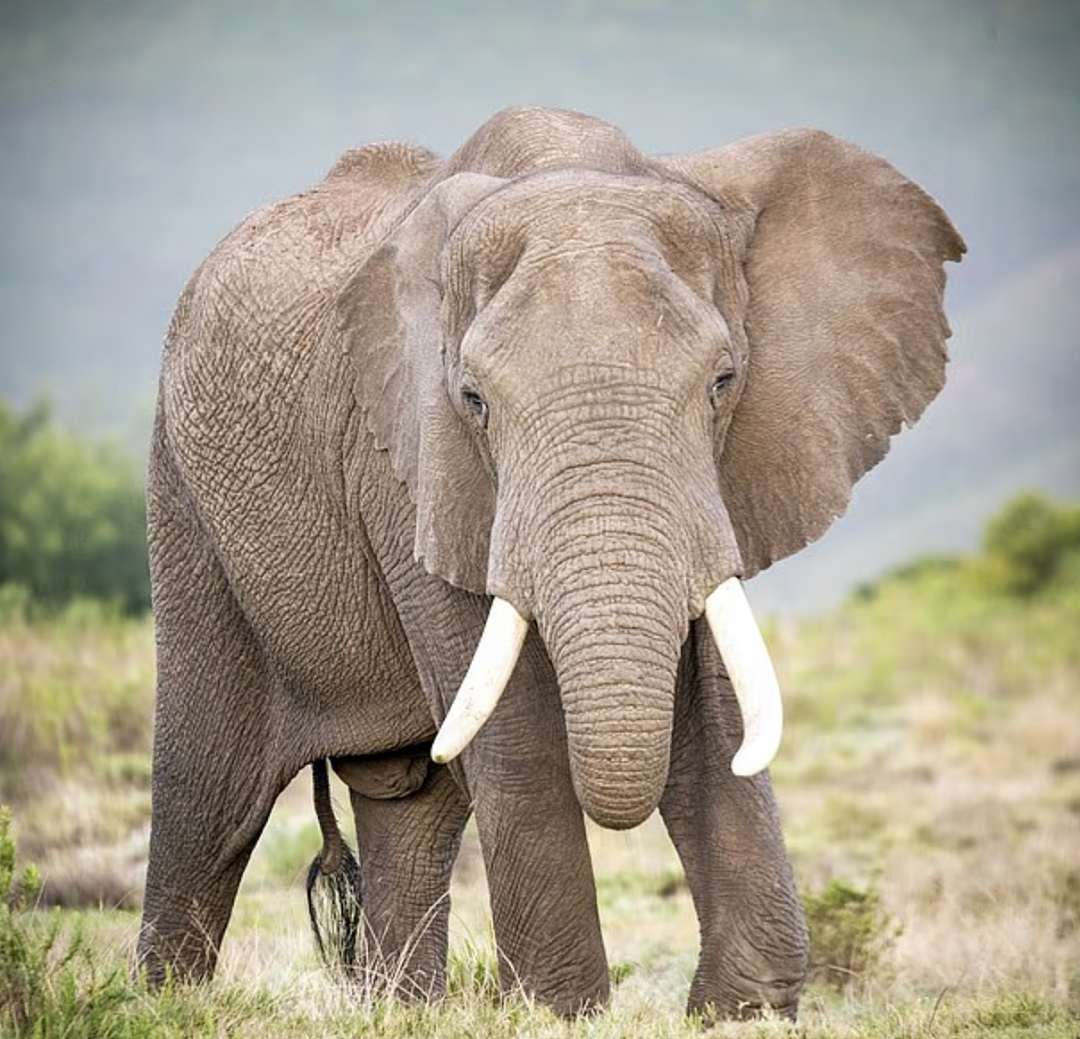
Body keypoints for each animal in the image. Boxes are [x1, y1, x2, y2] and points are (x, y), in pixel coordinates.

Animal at [136, 105, 964, 1021]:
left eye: (724, 382)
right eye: (474, 400)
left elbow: (710, 707)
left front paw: (737, 1014)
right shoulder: (408, 463)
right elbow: (520, 730)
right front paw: (557, 1013)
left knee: (410, 799)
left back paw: (402, 1011)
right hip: (183, 494)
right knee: (209, 798)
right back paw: (164, 1005)